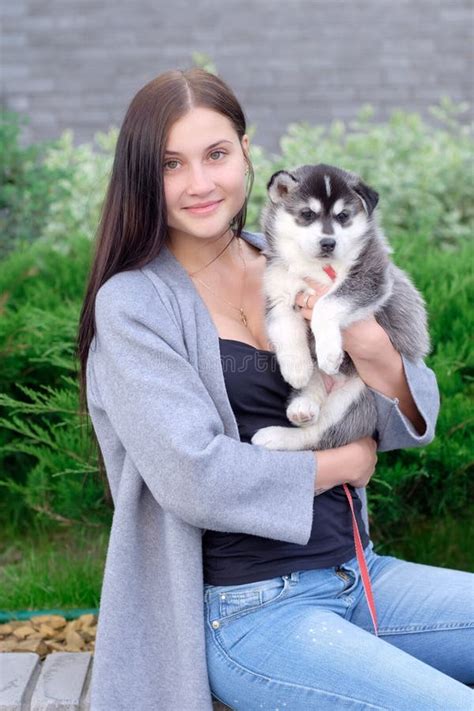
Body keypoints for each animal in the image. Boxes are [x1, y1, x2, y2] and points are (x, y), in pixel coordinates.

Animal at [252, 164, 430, 450]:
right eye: (307, 214)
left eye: (343, 216)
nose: (328, 243)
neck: (315, 266)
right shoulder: (278, 289)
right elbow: (285, 329)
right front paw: (297, 368)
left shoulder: (369, 277)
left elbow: (326, 304)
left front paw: (328, 353)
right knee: (311, 403)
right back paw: (301, 408)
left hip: (356, 396)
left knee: (318, 435)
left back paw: (276, 434)